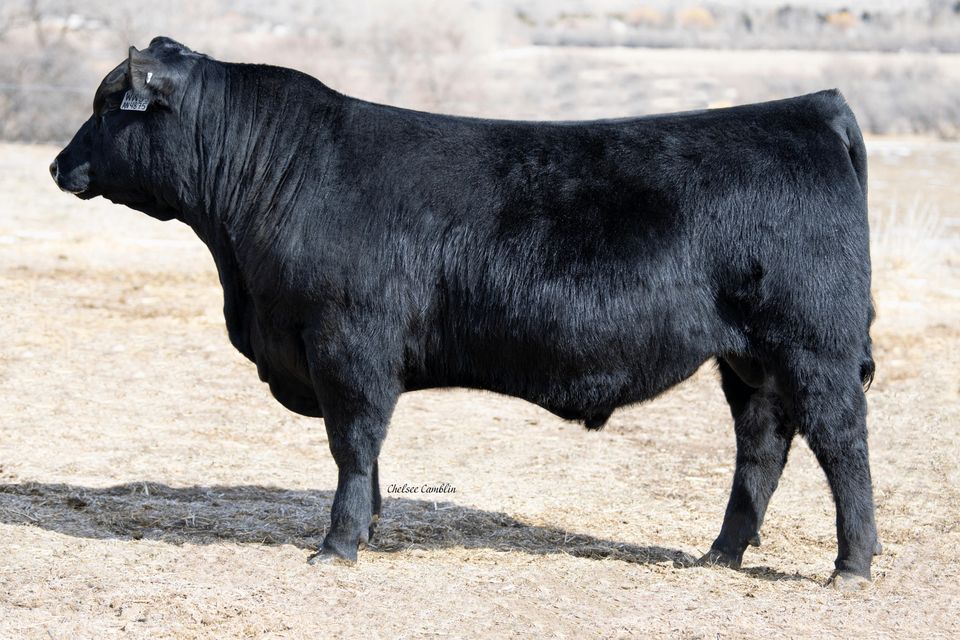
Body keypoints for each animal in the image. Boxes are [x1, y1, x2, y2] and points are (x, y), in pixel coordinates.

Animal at [51, 37, 880, 588]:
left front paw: (338, 544)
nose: (59, 164)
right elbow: (367, 455)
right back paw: (722, 553)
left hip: (815, 345)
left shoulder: (348, 346)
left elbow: (352, 446)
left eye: (107, 104)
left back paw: (851, 564)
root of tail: (813, 108)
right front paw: (370, 525)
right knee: (762, 445)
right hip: (750, 358)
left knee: (841, 443)